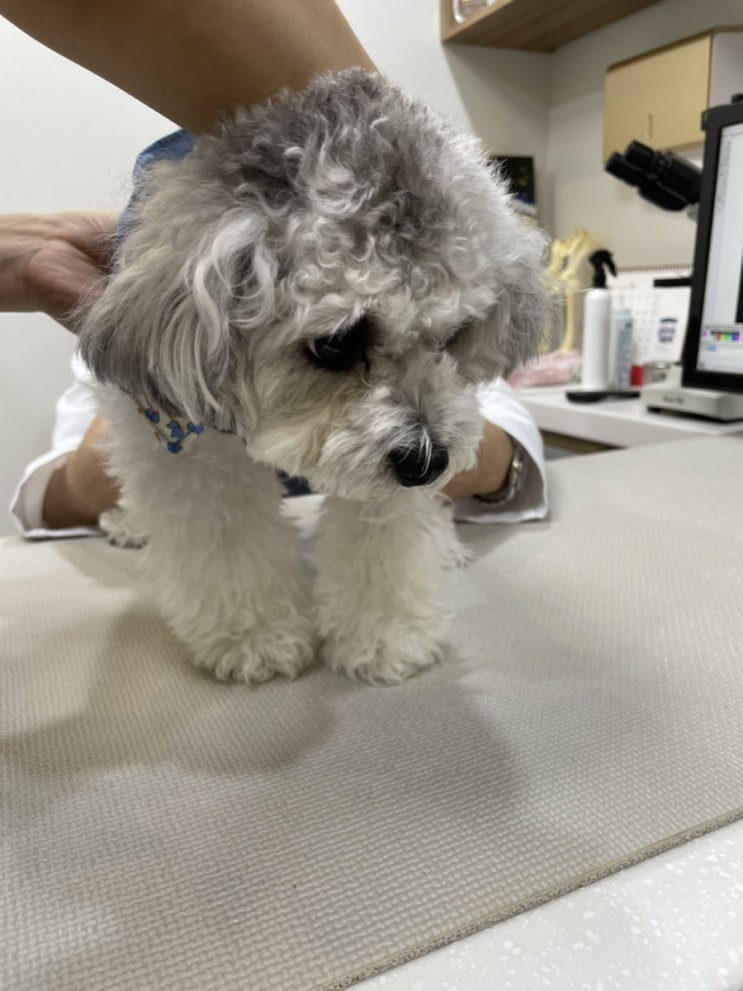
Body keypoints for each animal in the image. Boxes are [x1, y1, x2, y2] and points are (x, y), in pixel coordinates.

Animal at [78, 69, 547, 686]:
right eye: (335, 344)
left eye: (455, 335)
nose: (429, 464)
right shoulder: (183, 442)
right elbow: (224, 535)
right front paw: (256, 636)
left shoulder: (385, 472)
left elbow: (380, 535)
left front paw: (384, 634)